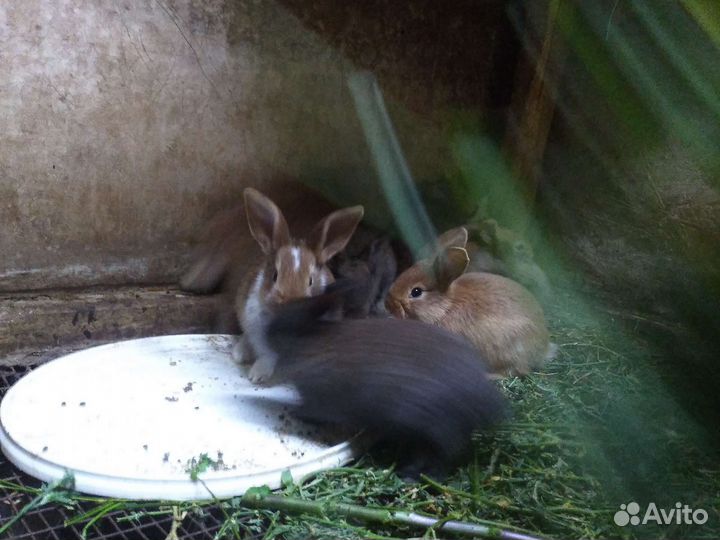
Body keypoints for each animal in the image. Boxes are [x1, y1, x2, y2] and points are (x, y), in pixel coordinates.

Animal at [236, 187, 364, 383]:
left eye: (310, 280)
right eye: (275, 275)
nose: (291, 305)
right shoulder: (257, 327)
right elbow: (268, 355)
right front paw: (257, 375)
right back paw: (240, 352)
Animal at [262, 280, 508, 478]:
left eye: (290, 320)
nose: (268, 329)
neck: (312, 339)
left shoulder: (321, 398)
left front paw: (296, 413)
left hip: (434, 431)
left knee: (443, 459)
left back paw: (411, 475)